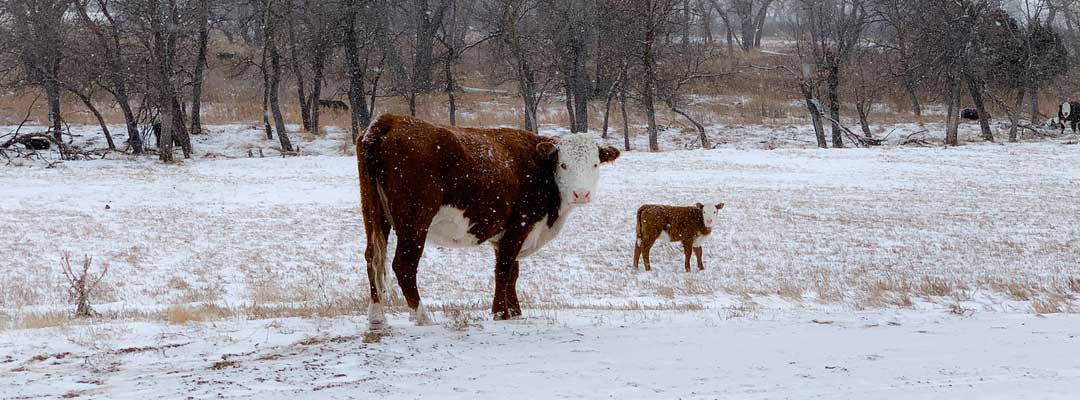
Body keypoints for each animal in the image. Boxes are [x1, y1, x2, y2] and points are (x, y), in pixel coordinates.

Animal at [358, 114, 622, 328]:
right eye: (564, 164)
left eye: (595, 164)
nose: (581, 194)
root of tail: (391, 120)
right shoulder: (519, 226)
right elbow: (504, 269)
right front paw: (500, 312)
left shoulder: (507, 235)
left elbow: (513, 271)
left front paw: (514, 311)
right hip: (415, 220)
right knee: (403, 265)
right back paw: (422, 317)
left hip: (374, 213)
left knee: (372, 258)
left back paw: (376, 317)